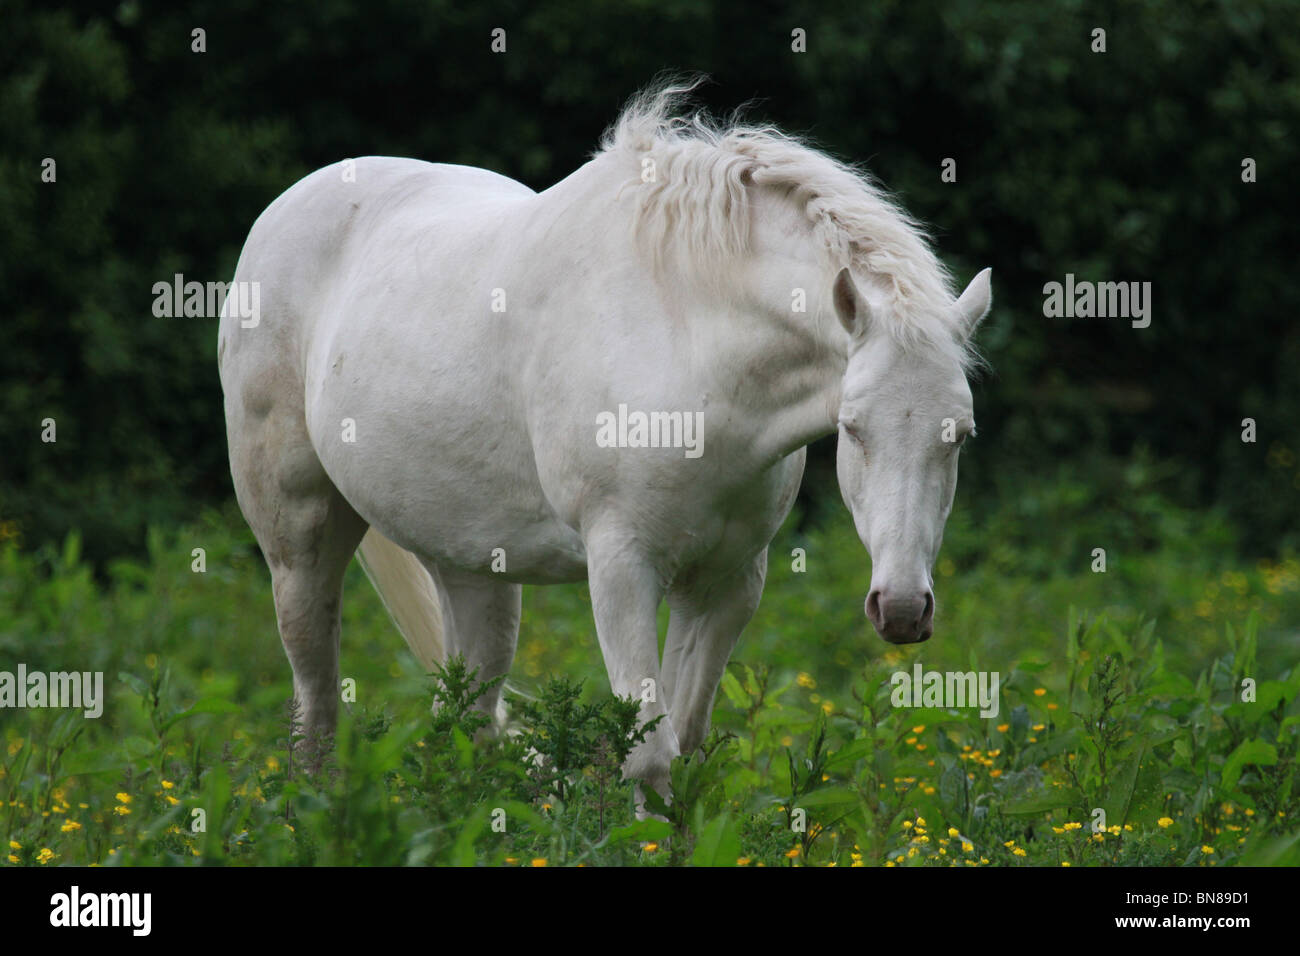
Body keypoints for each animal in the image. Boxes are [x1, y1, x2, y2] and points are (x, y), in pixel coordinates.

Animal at [217, 81, 991, 805]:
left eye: (960, 435)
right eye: (853, 428)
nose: (902, 610)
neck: (689, 339)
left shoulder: (728, 583)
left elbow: (689, 744)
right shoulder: (622, 567)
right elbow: (650, 758)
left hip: (471, 570)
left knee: (464, 723)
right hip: (301, 543)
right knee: (316, 710)